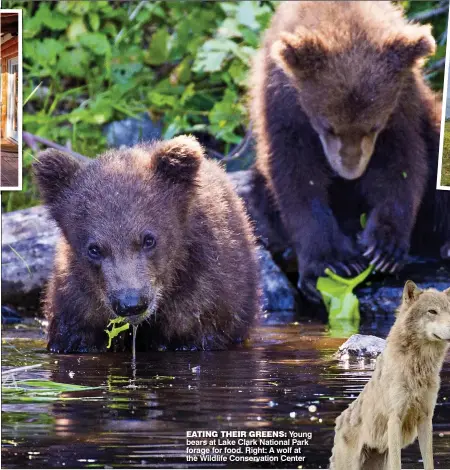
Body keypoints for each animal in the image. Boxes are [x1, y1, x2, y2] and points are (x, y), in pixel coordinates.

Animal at [251, 0, 448, 302]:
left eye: (373, 126)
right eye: (329, 127)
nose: (350, 170)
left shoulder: (403, 107)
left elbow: (401, 165)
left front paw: (384, 248)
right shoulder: (283, 109)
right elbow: (295, 177)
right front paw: (331, 263)